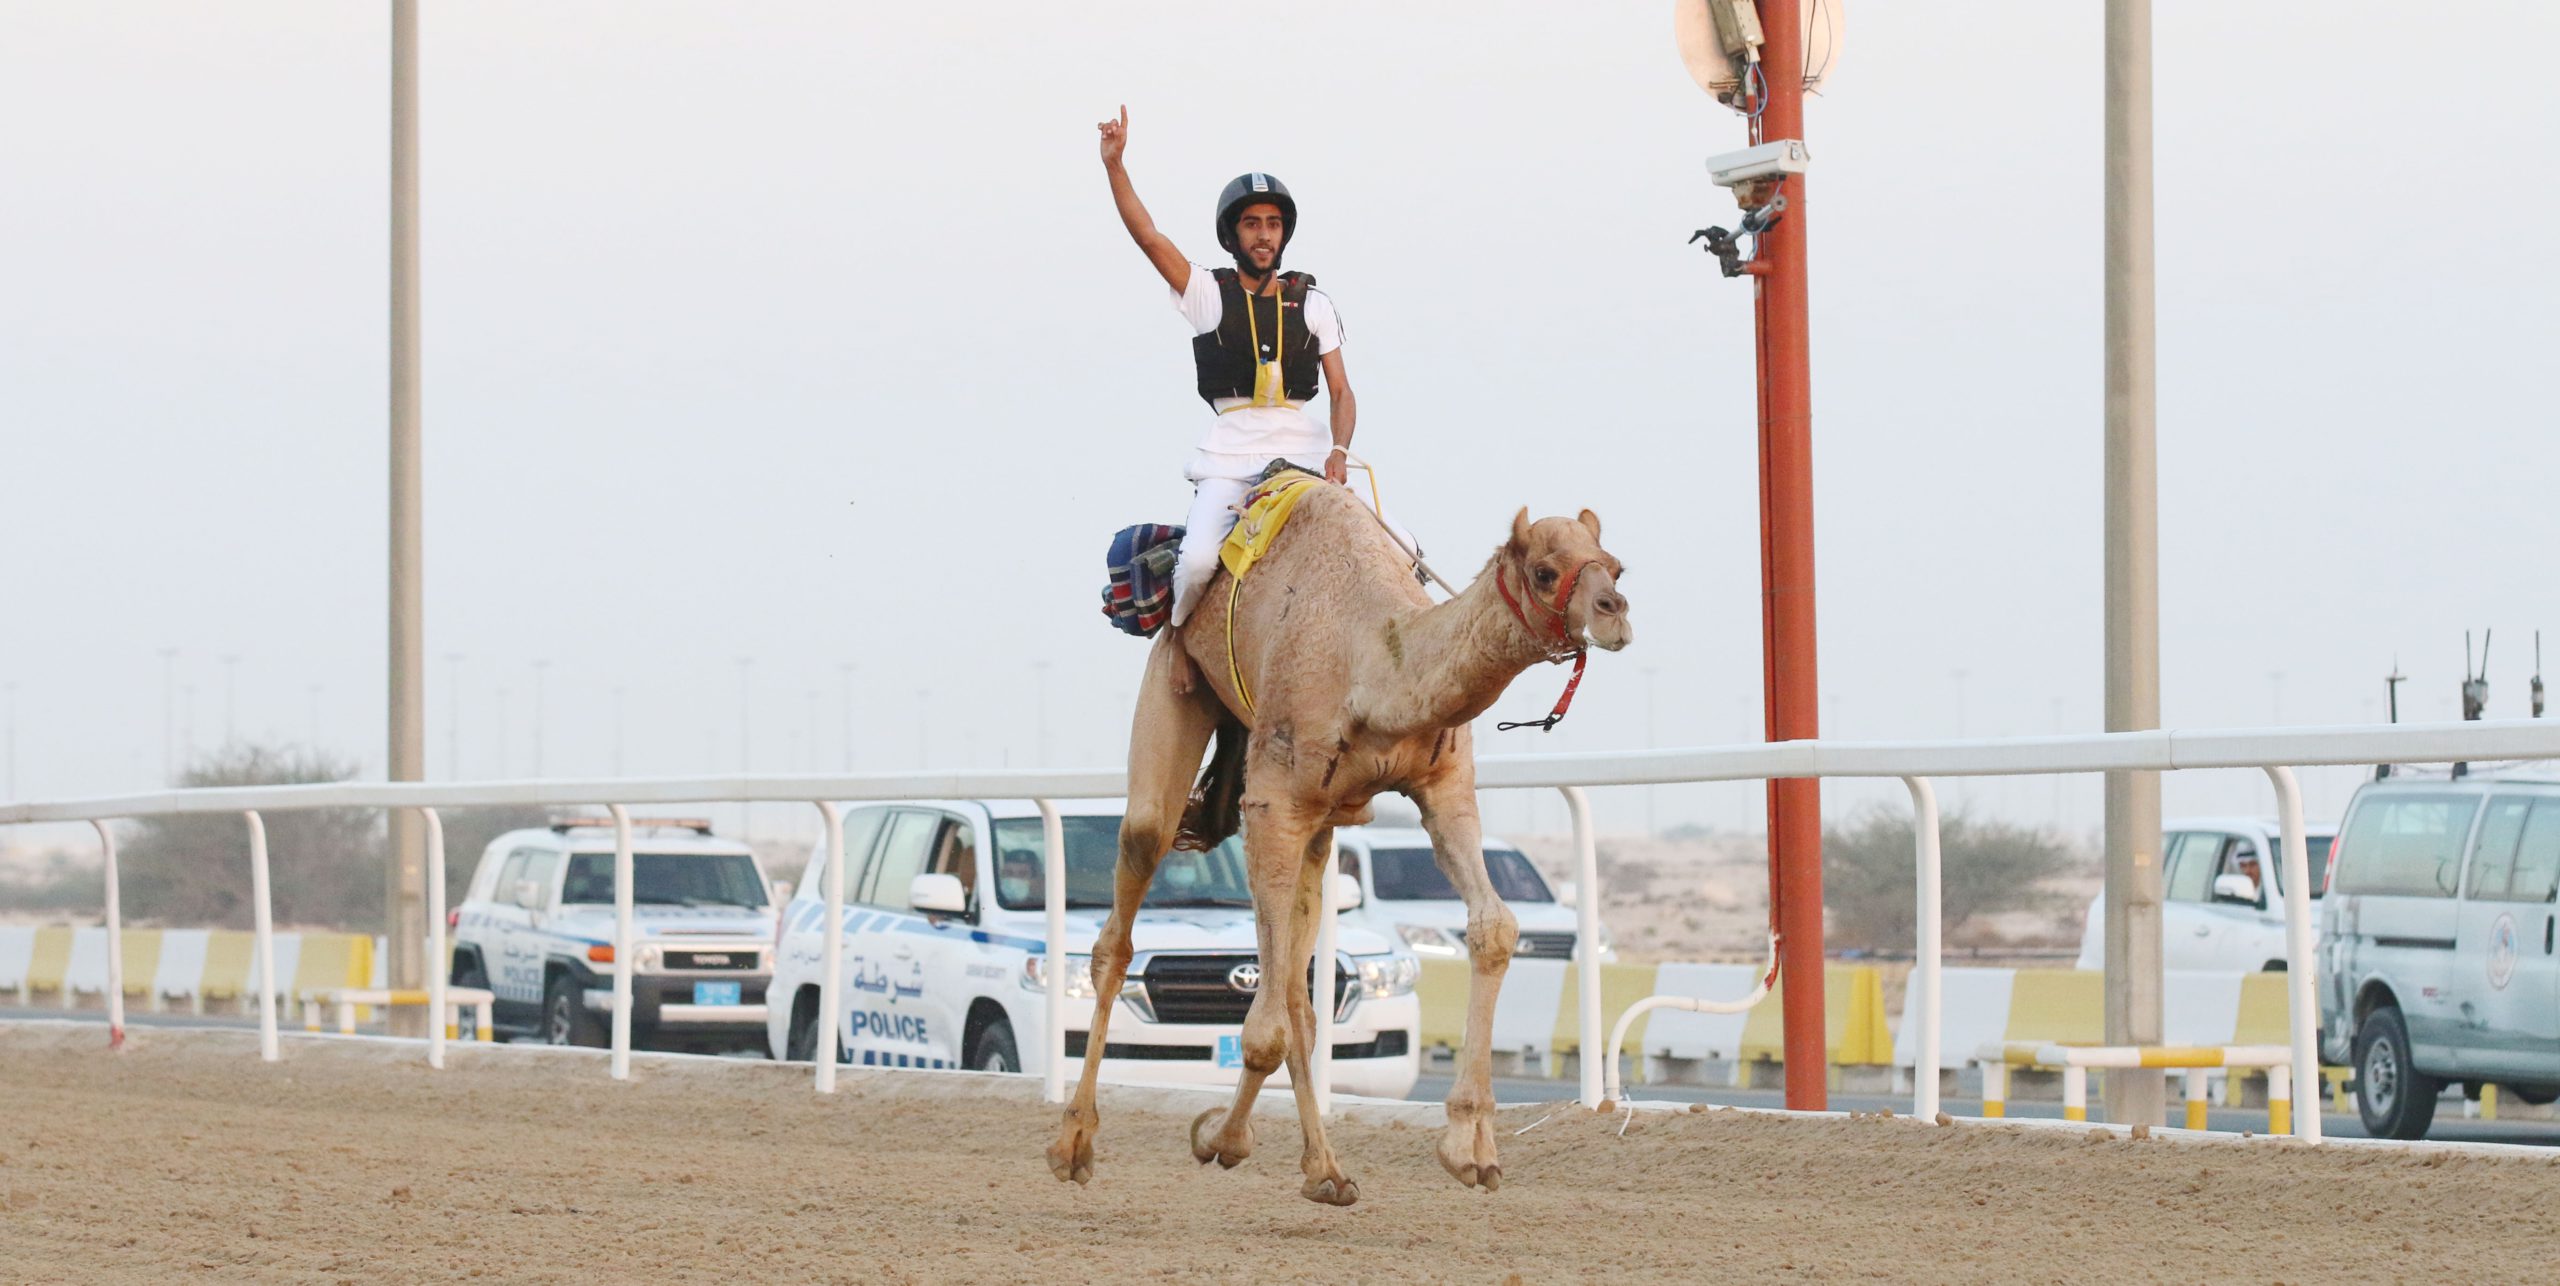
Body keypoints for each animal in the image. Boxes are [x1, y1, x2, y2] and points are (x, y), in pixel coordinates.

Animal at [1049, 479, 1628, 1204]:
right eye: (1546, 571)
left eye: (1616, 565)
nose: (1615, 613)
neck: (1372, 665)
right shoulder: (1272, 803)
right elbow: (1264, 1028)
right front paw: (1218, 1140)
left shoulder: (1442, 789)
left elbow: (1494, 928)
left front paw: (1471, 1149)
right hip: (1174, 686)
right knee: (1126, 913)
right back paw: (1074, 1143)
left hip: (1321, 828)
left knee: (1299, 990)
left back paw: (1321, 1168)